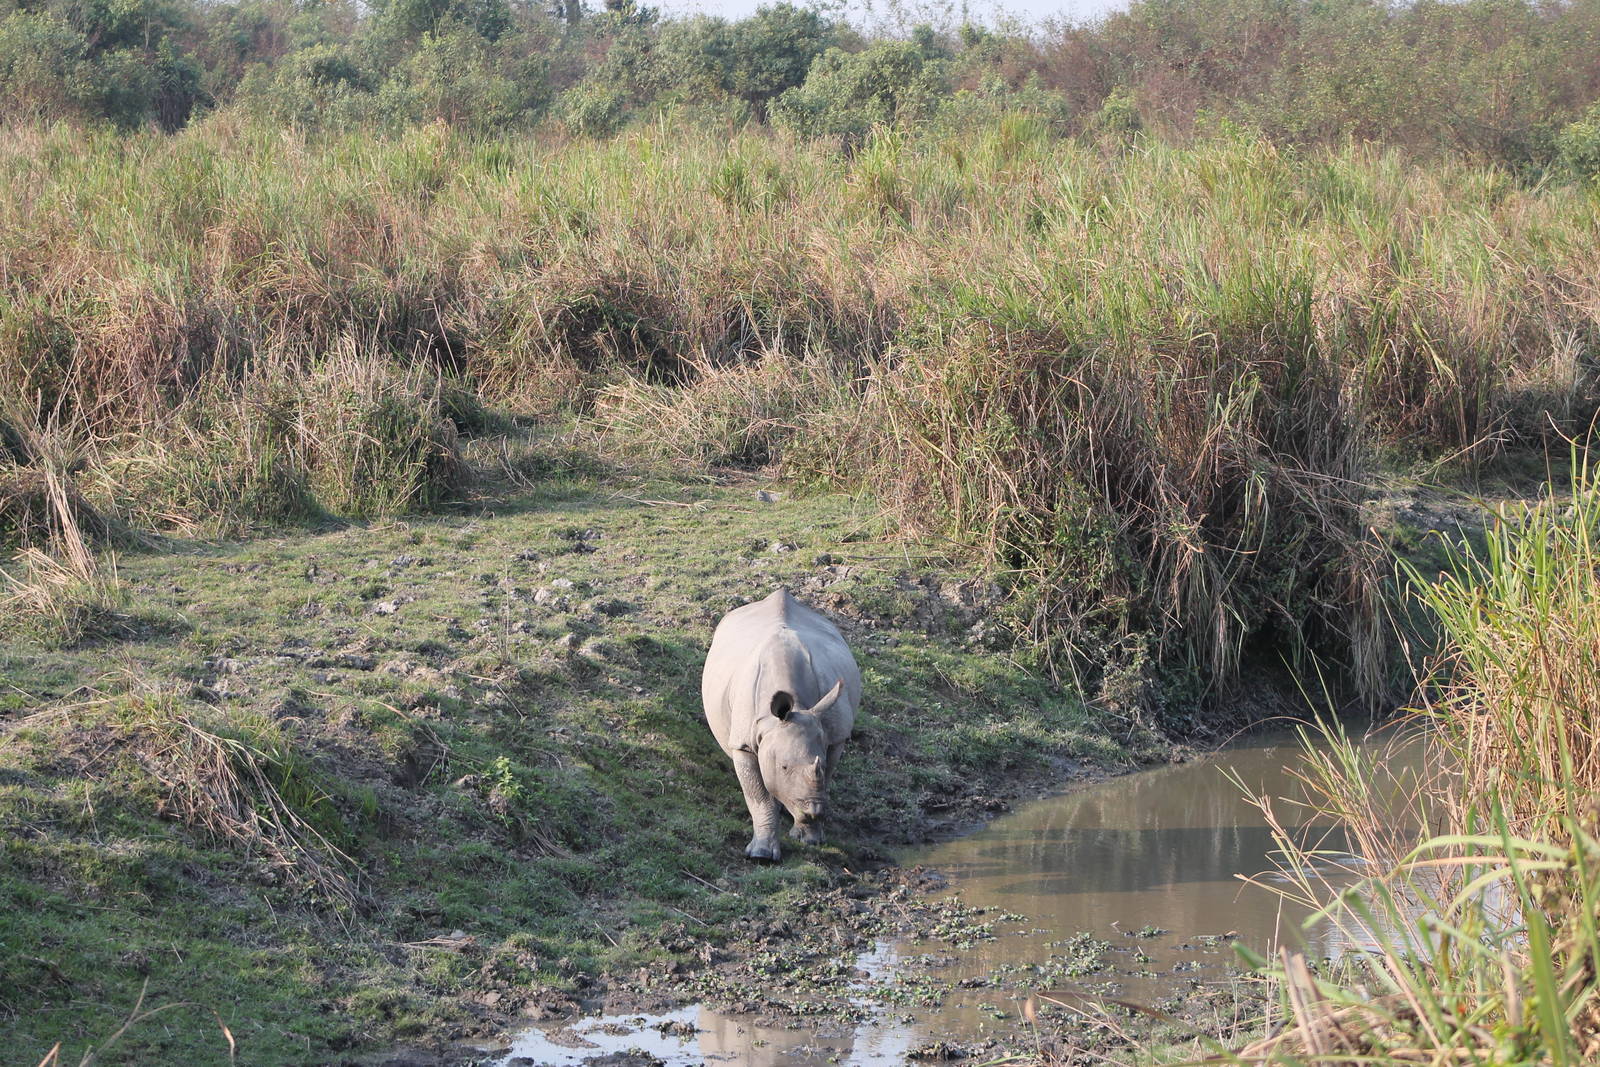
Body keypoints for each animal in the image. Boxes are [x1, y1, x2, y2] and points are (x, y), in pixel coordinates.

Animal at [702, 588, 860, 861]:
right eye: (784, 767)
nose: (813, 811)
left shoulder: (834, 736)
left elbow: (826, 776)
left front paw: (809, 838)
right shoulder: (743, 743)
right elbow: (758, 796)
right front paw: (761, 856)